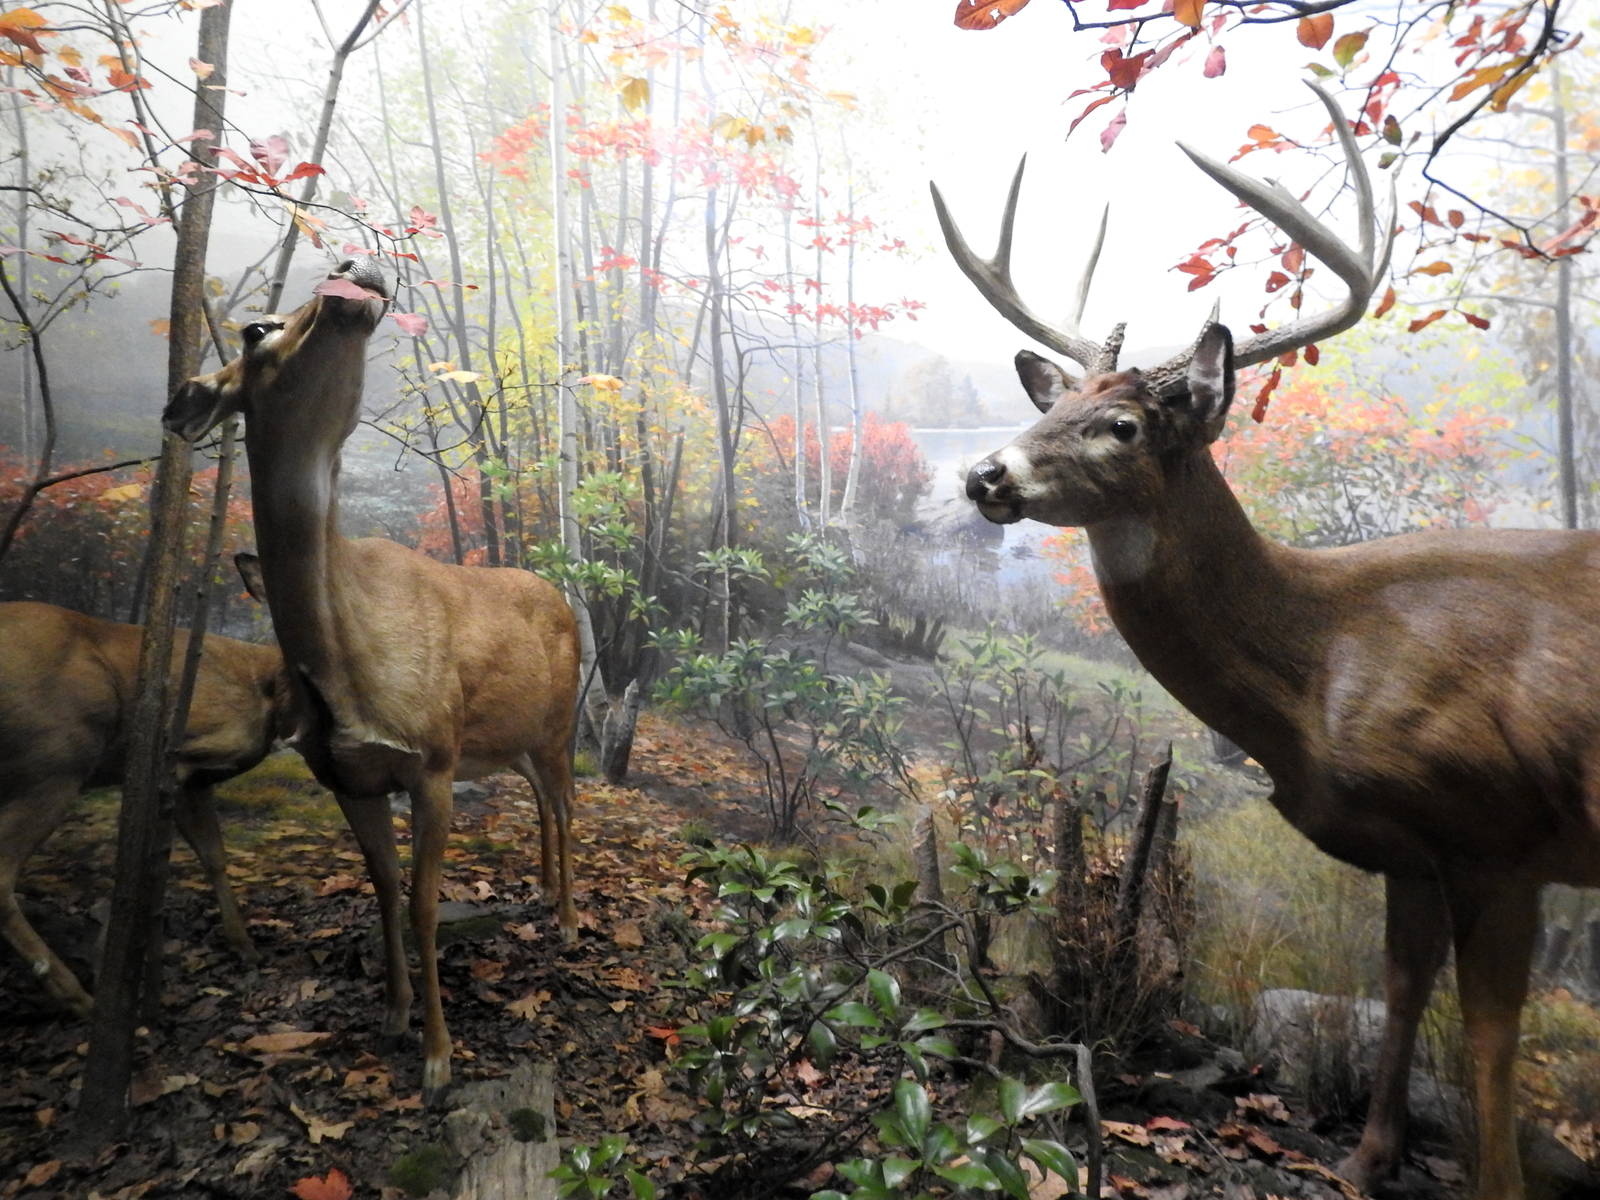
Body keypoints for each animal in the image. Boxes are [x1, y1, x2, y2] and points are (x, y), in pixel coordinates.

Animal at [0, 600, 294, 1016]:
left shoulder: (198, 781)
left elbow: (214, 856)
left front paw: (244, 946)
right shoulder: (180, 753)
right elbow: (144, 859)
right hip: (57, 758)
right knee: (1, 876)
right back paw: (81, 999)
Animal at [161, 258, 582, 1107]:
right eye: (254, 329)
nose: (355, 267)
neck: (347, 655)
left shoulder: (435, 760)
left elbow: (422, 905)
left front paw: (439, 1059)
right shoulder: (347, 777)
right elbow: (383, 891)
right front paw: (393, 1014)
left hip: (560, 724)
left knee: (566, 802)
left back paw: (568, 918)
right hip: (513, 740)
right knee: (541, 801)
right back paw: (545, 895)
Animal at [936, 82, 1600, 1200]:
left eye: (1123, 424)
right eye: (1062, 401)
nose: (985, 473)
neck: (1322, 666)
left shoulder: (1499, 836)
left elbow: (1488, 1042)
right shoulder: (1408, 847)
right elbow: (1400, 984)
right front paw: (1366, 1160)